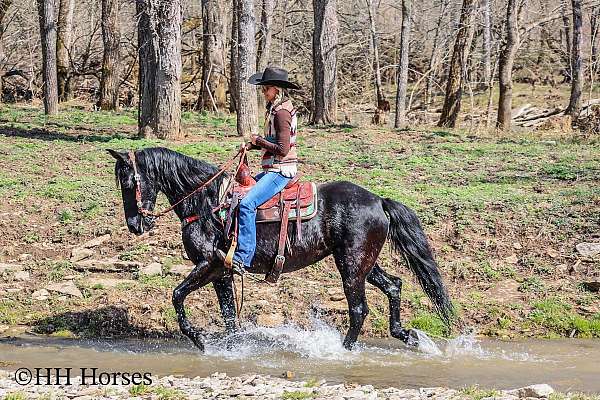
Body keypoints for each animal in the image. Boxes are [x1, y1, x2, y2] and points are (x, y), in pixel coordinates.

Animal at [109, 147, 454, 350]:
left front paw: (198, 338)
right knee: (394, 286)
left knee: (358, 309)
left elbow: (177, 295)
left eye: (128, 182)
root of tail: (379, 201)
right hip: (363, 263)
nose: (135, 225)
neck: (207, 203)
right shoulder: (222, 273)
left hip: (352, 267)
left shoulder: (208, 265)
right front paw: (232, 346)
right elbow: (229, 315)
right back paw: (405, 335)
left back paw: (343, 350)